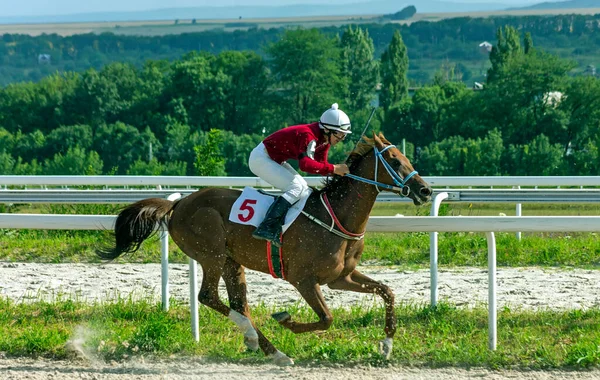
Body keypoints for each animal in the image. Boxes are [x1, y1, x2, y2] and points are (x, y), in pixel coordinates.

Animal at [97, 133, 432, 366]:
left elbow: (387, 291)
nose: (425, 190)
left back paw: (269, 348)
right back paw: (255, 338)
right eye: (396, 161)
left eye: (406, 157)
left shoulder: (341, 278)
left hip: (232, 261)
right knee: (208, 297)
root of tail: (178, 203)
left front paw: (386, 345)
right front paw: (285, 319)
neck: (335, 215)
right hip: (211, 254)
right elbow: (326, 318)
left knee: (237, 303)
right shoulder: (303, 279)